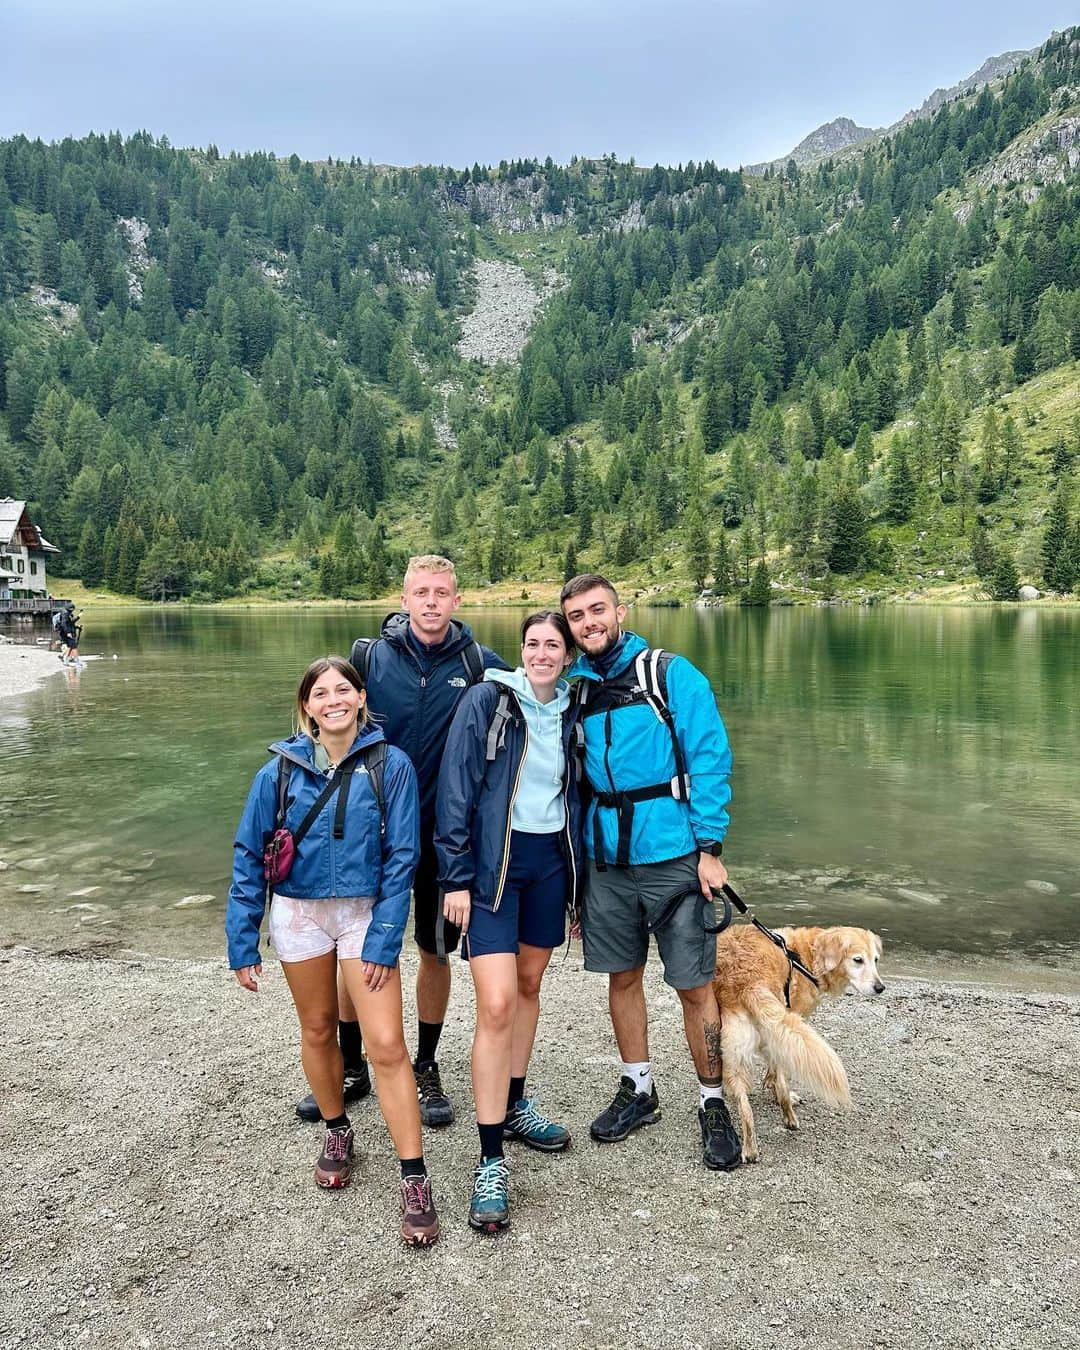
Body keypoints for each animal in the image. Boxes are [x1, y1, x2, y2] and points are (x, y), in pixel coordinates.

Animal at [707, 923, 885, 1166]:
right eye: (858, 960)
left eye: (875, 959)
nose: (880, 987)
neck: (805, 956)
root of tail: (746, 982)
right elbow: (776, 1076)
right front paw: (777, 1089)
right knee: (781, 1082)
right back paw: (789, 1114)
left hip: (736, 1047)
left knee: (744, 1103)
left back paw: (750, 1148)